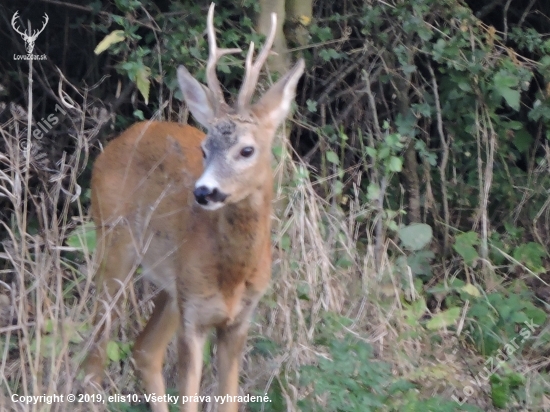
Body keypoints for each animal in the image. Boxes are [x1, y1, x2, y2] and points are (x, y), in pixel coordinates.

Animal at [85, 3, 306, 412]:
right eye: (204, 149)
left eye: (247, 150)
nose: (203, 191)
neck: (233, 274)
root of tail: (114, 144)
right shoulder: (194, 317)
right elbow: (189, 398)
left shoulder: (237, 320)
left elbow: (229, 399)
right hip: (114, 241)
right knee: (96, 347)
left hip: (172, 286)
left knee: (144, 350)